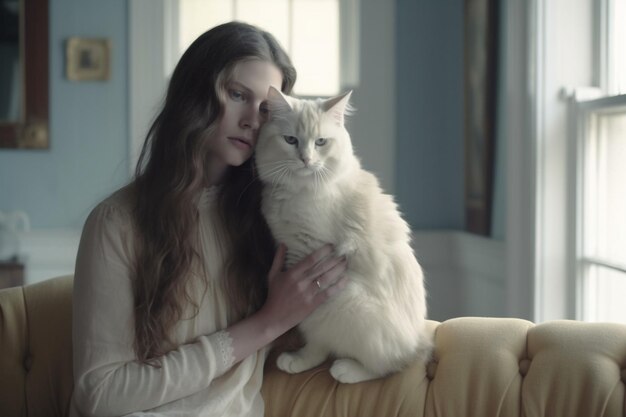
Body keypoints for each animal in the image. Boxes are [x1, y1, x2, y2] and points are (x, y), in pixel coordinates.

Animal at [254, 88, 428, 384]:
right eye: (291, 140)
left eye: (321, 142)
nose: (306, 159)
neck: (298, 191)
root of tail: (419, 343)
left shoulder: (308, 253)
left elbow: (310, 327)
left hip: (347, 301)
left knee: (385, 366)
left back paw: (345, 370)